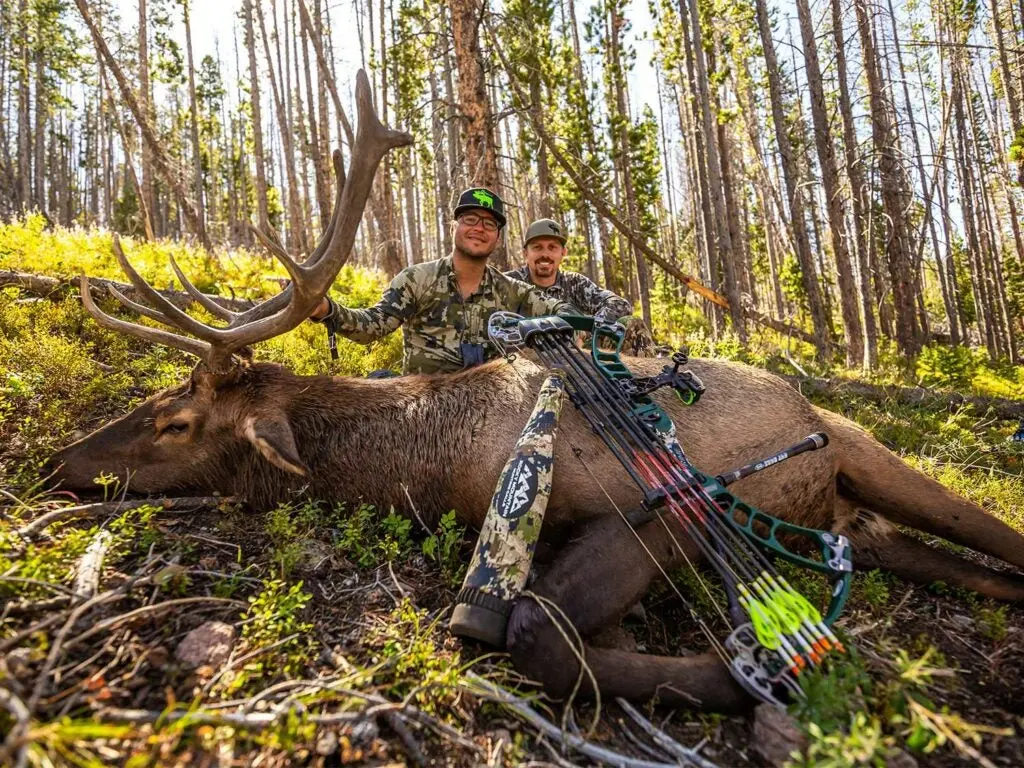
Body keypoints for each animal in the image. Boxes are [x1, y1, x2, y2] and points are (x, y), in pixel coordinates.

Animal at [44, 72, 1024, 716]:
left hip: (863, 450)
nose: (61, 460)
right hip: (866, 525)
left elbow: (531, 632)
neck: (427, 467)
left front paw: (755, 676)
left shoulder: (663, 506)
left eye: (174, 422)